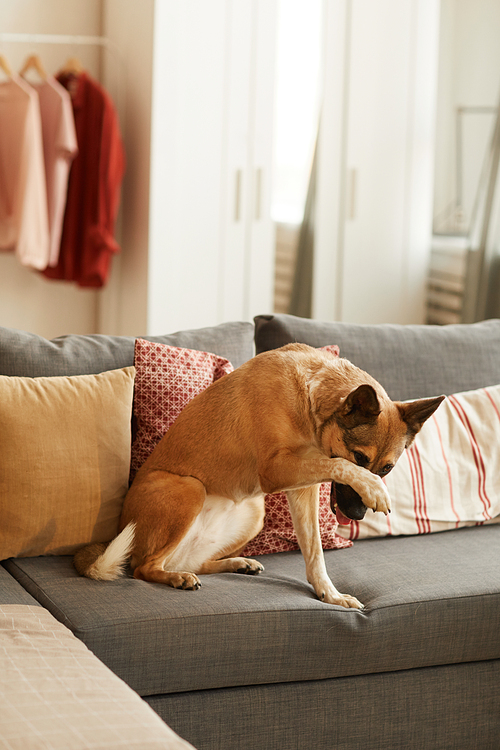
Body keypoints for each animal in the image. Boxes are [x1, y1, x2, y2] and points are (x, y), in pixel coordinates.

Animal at [74, 346, 442, 612]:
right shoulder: (277, 470)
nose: (356, 515)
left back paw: (231, 563)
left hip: (254, 511)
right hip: (190, 489)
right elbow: (336, 465)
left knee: (193, 561)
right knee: (143, 567)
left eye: (387, 468)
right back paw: (177, 576)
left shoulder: (303, 489)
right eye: (361, 459)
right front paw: (373, 489)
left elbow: (314, 552)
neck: (310, 394)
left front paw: (329, 593)